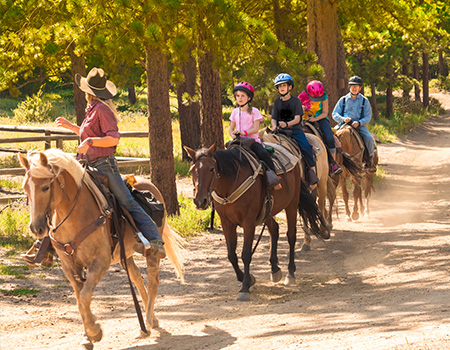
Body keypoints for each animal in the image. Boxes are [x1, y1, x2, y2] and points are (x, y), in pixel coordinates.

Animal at [17, 150, 183, 350]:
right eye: (26, 187)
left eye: (45, 188)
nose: (36, 228)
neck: (76, 215)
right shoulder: (69, 266)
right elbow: (80, 300)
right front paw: (87, 337)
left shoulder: (100, 262)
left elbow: (85, 296)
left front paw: (95, 332)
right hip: (124, 254)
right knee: (136, 277)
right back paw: (150, 322)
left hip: (151, 252)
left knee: (152, 281)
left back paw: (149, 322)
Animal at [185, 144, 328, 302]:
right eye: (192, 170)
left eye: (211, 169)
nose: (200, 200)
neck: (231, 185)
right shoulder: (227, 223)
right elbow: (231, 255)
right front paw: (246, 278)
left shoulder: (248, 222)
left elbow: (246, 254)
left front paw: (245, 288)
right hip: (268, 211)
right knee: (274, 230)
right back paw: (275, 269)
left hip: (292, 204)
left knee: (291, 236)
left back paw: (290, 274)